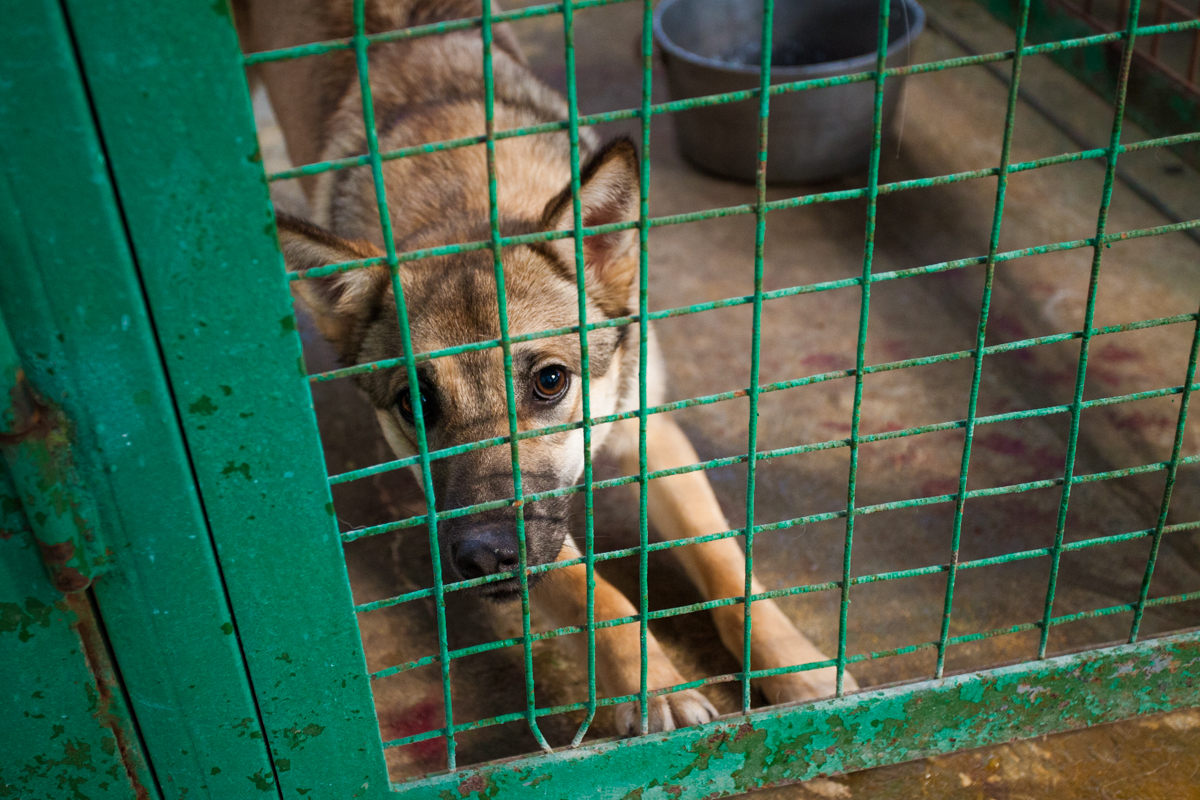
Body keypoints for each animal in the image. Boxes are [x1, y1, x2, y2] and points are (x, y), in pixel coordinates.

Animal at [236, 0, 854, 734]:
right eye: (415, 404)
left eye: (550, 381)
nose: (481, 557)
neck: (464, 192)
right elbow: (598, 594)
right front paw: (653, 687)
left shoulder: (650, 429)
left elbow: (727, 559)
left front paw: (799, 669)